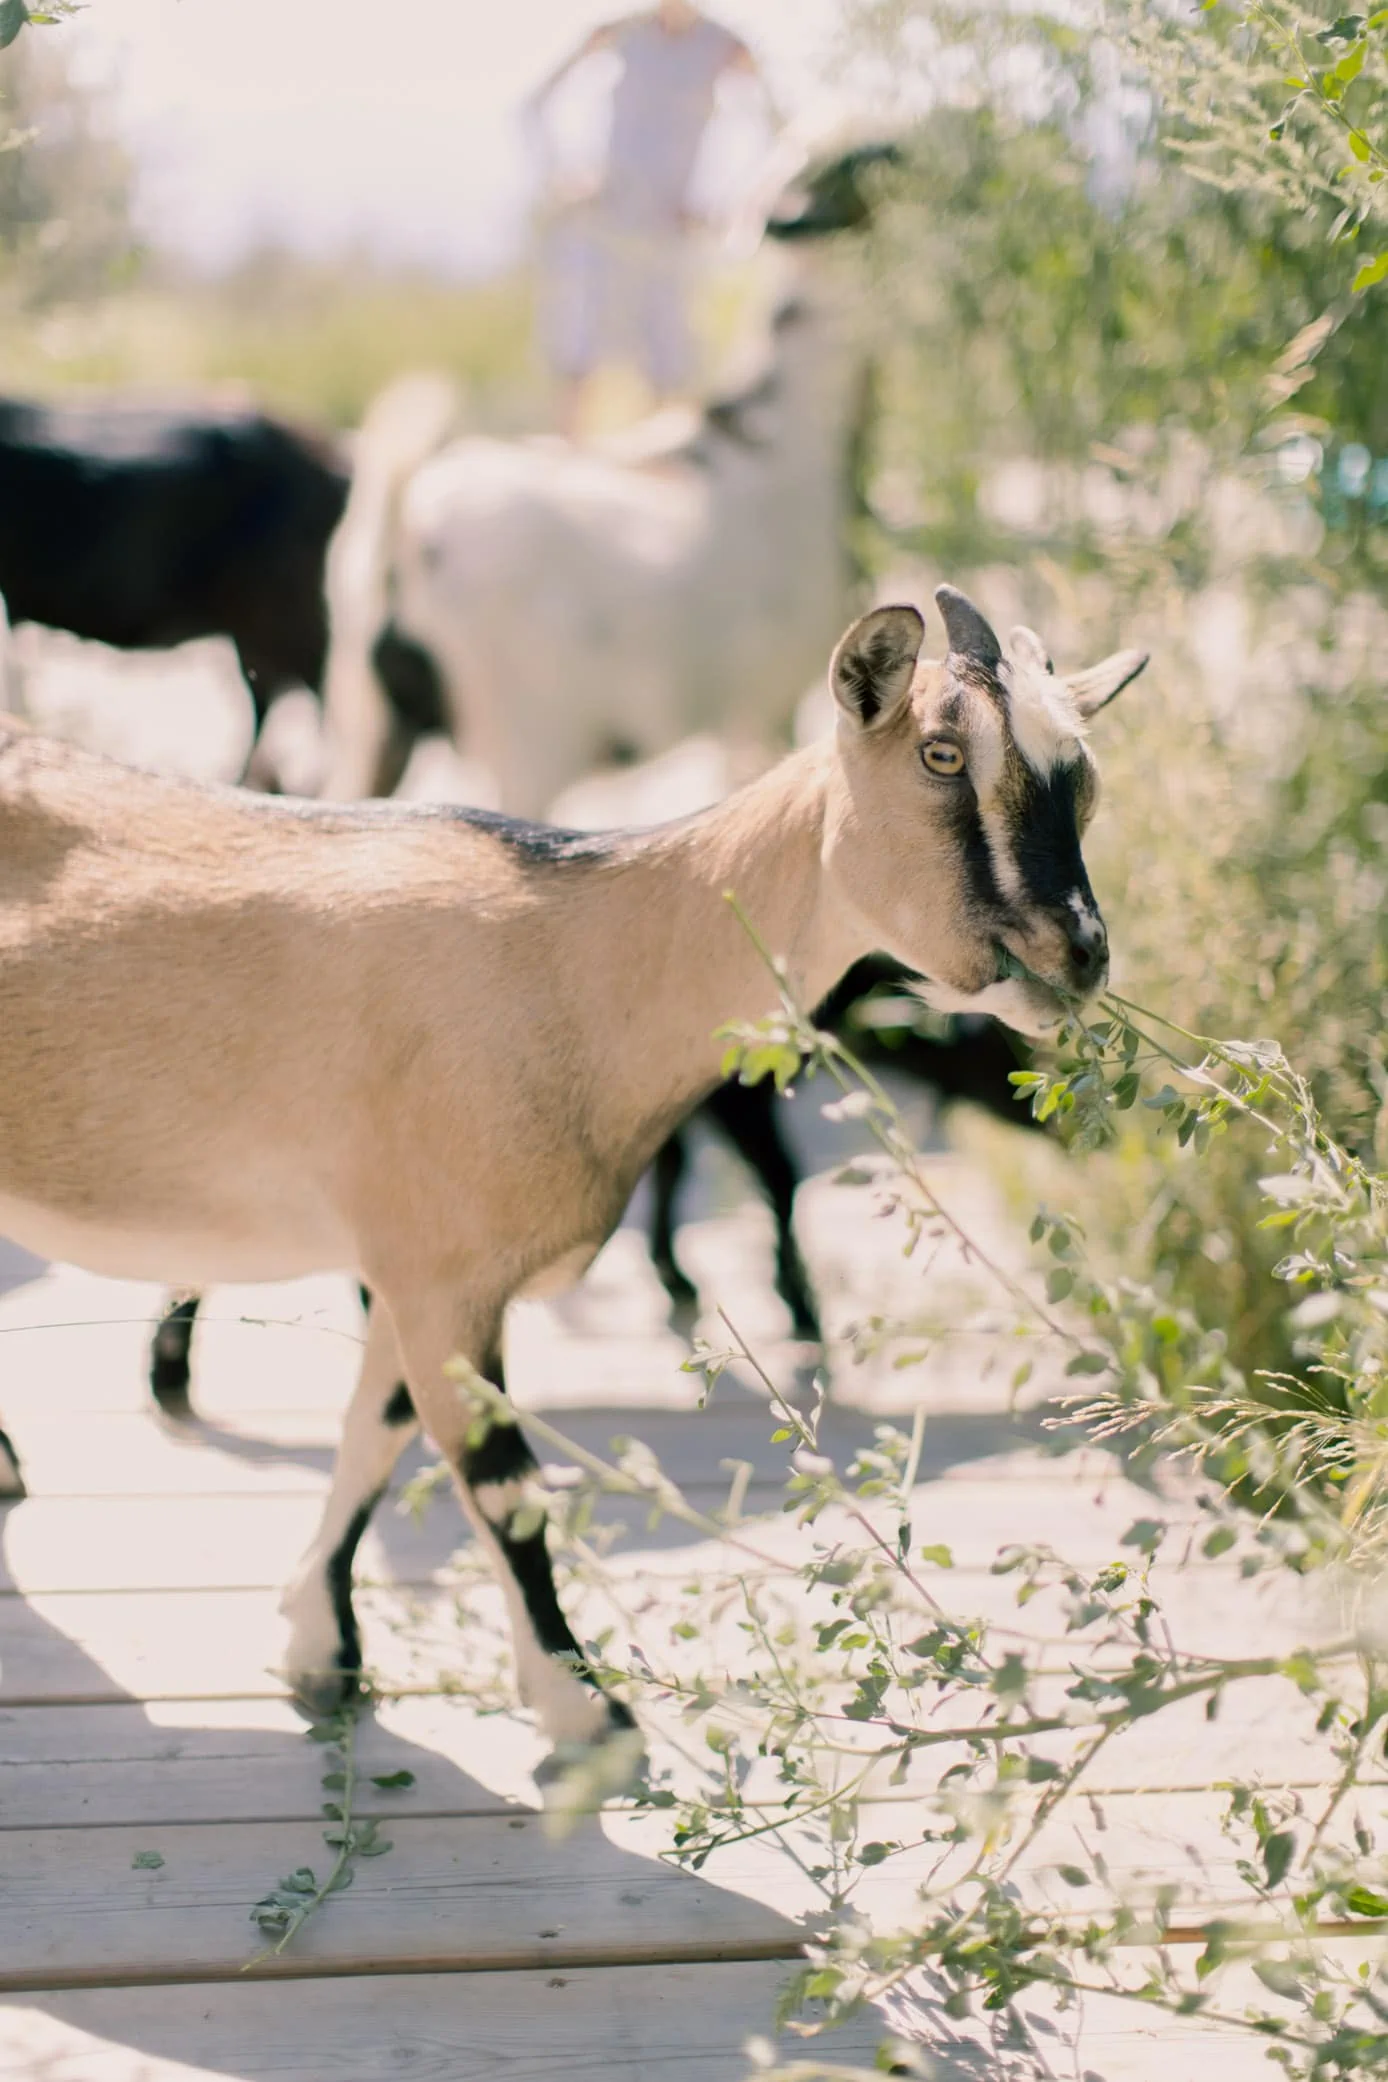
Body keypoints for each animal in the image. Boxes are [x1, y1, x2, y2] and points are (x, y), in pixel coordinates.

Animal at [0, 587, 1148, 1740]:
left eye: (1085, 776)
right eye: (943, 755)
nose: (1077, 954)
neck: (573, 962)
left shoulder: (418, 1277)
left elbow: (375, 1435)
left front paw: (321, 1646)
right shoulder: (442, 1276)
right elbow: (501, 1485)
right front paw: (584, 1709)